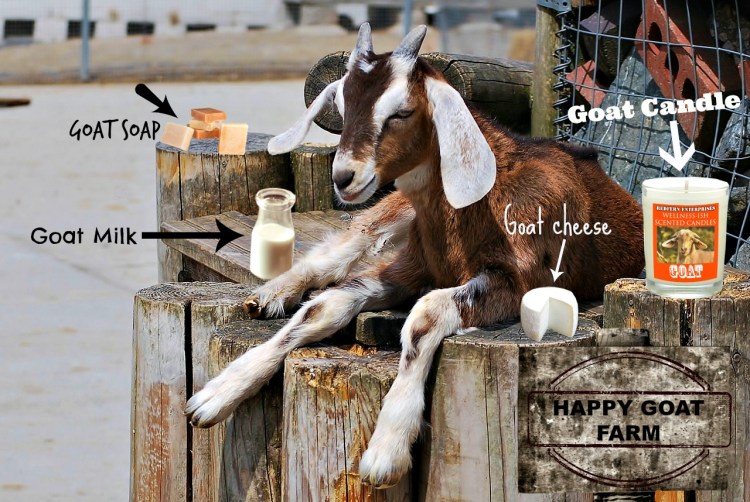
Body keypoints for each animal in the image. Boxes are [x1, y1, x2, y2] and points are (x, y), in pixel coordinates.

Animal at [185, 24, 645, 488]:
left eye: (402, 112)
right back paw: (270, 295)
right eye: (342, 106)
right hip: (391, 211)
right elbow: (323, 307)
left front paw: (385, 450)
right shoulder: (409, 266)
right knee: (342, 248)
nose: (344, 177)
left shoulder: (522, 281)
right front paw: (215, 396)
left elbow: (423, 316)